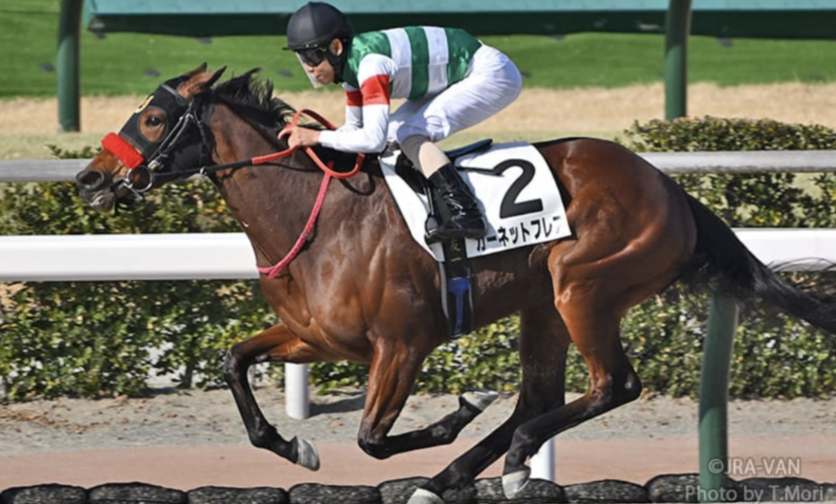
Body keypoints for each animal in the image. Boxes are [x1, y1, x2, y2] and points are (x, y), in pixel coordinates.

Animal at [75, 64, 836, 504]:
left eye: (151, 117)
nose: (88, 179)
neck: (319, 218)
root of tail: (671, 190)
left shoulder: (402, 346)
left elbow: (375, 440)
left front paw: (460, 406)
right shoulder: (319, 337)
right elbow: (236, 362)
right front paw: (296, 446)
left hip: (583, 288)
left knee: (612, 385)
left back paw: (514, 456)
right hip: (544, 305)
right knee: (540, 393)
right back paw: (454, 478)